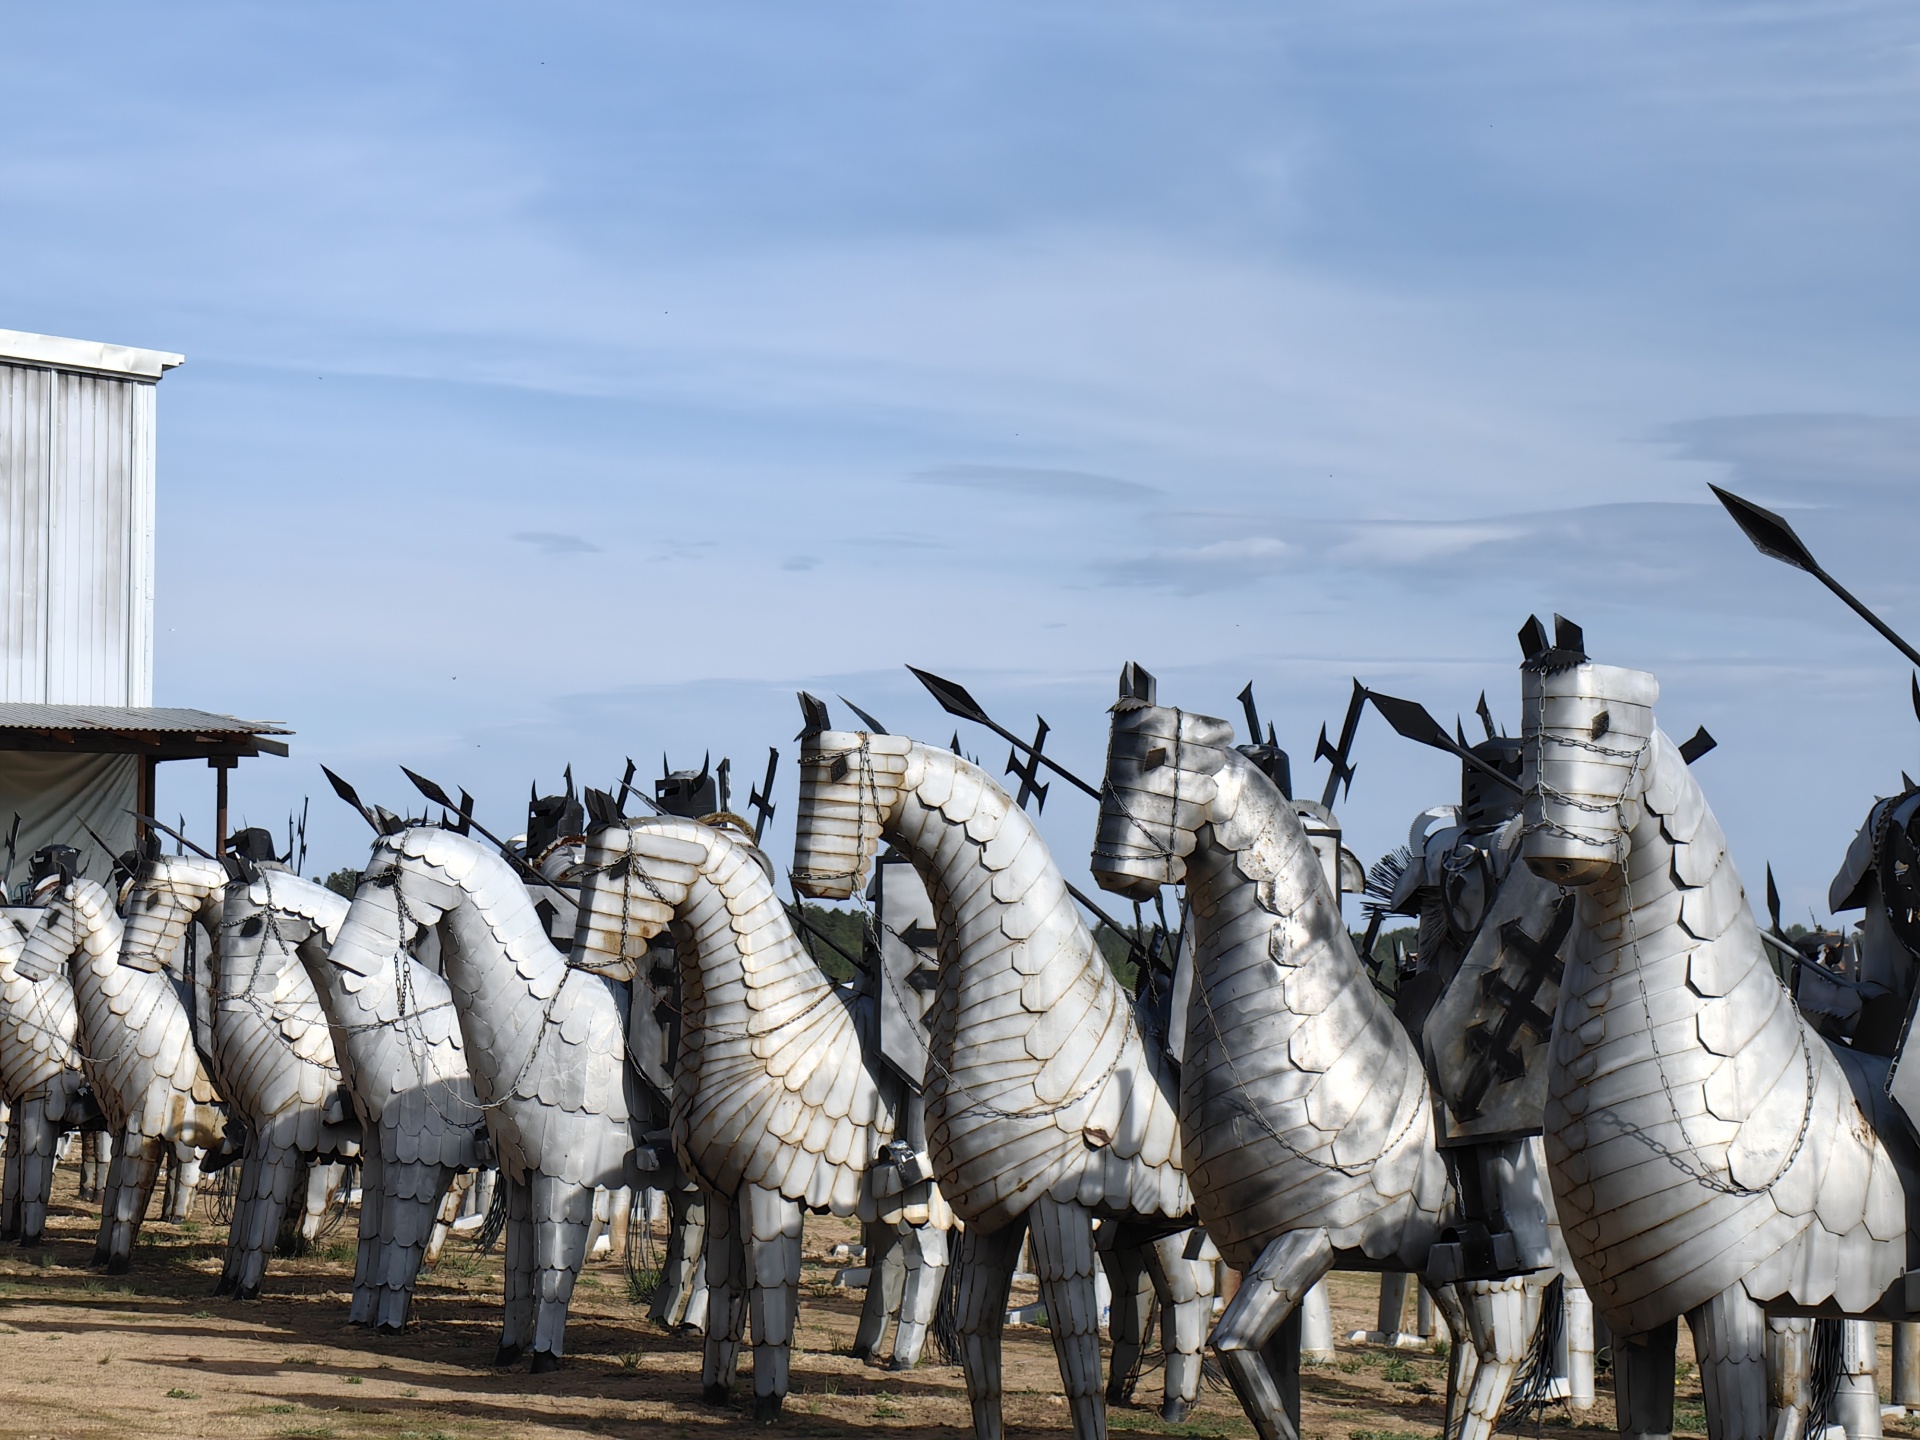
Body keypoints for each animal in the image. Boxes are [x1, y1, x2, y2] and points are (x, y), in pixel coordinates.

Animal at [326, 829, 633, 1367]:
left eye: (388, 876)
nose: (342, 961)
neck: (536, 1013)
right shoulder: (515, 1167)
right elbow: (517, 1266)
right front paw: (509, 1349)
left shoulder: (561, 1172)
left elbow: (554, 1263)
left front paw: (544, 1356)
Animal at [794, 718, 1213, 1440]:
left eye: (841, 771)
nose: (812, 878)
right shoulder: (994, 1216)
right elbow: (976, 1343)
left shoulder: (1056, 1207)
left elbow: (1073, 1344)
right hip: (1155, 1222)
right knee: (1173, 1296)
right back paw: (1166, 1399)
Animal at [1098, 668, 1559, 1440]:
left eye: (1159, 755)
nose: (1114, 870)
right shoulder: (1264, 1249)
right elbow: (1257, 1369)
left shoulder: (1305, 1241)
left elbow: (1231, 1346)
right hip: (1441, 1261)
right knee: (1470, 1344)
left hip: (1513, 1254)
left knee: (1501, 1346)